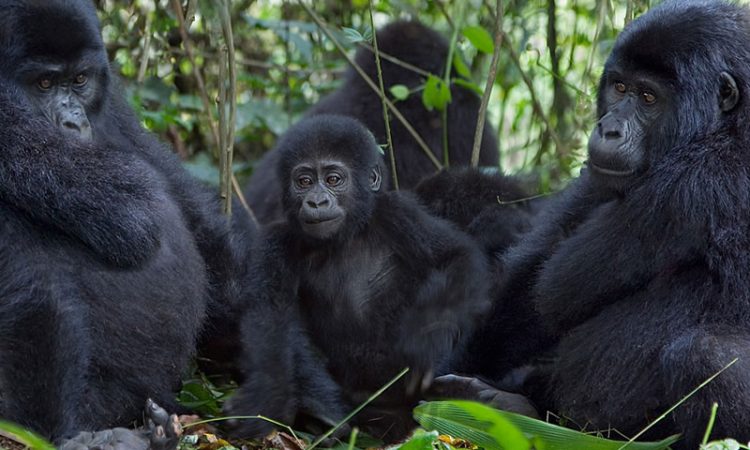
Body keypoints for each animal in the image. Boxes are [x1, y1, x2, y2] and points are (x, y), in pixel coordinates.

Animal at [229, 114, 494, 442]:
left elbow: (455, 256)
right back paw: (324, 416)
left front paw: (427, 339)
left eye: (333, 180)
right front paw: (266, 397)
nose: (316, 202)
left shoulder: (398, 212)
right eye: (304, 182)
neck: (345, 237)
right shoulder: (275, 242)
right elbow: (270, 316)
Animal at [476, 0, 750, 444]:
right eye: (620, 88)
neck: (729, 123)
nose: (608, 129)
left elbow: (555, 290)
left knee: (705, 357)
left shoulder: (697, 181)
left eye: (649, 97)